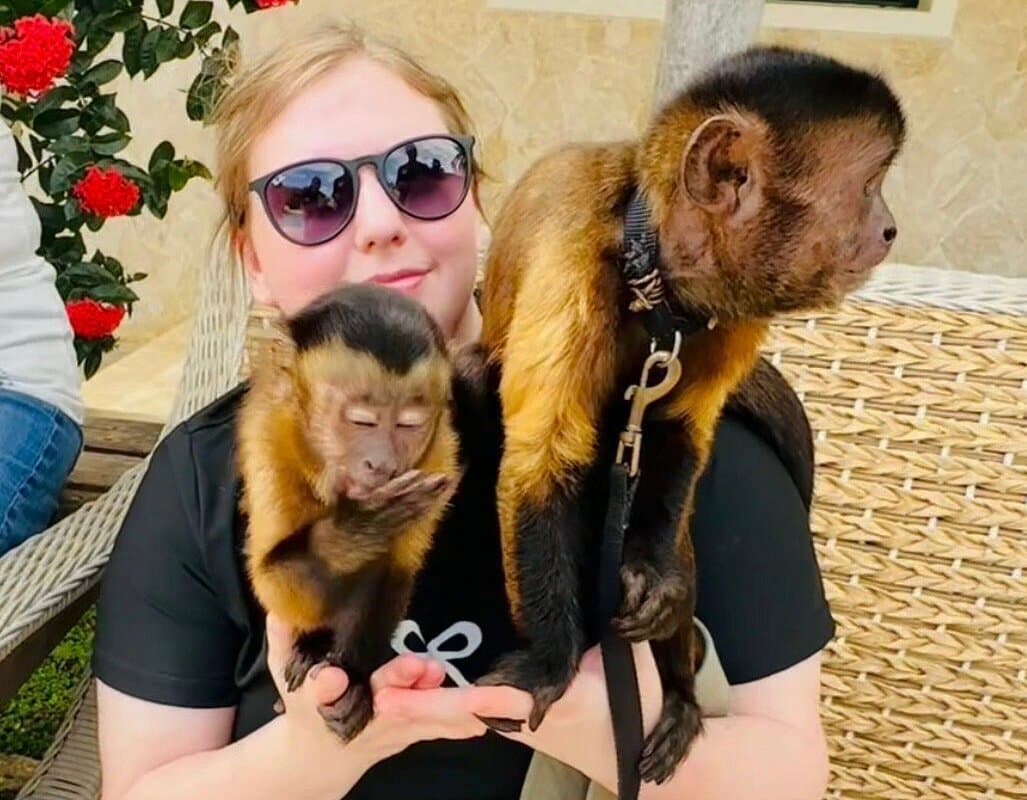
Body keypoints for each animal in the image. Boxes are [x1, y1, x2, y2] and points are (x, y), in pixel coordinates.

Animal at [237, 282, 478, 743]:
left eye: (408, 425)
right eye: (362, 421)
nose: (381, 465)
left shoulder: (440, 452)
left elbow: (389, 574)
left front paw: (353, 677)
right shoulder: (270, 440)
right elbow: (270, 579)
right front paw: (360, 526)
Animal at [474, 44, 906, 784]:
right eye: (868, 185)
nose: (888, 227)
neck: (656, 278)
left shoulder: (730, 309)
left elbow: (679, 428)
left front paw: (657, 578)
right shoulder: (571, 257)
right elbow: (541, 464)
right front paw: (552, 664)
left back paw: (677, 692)